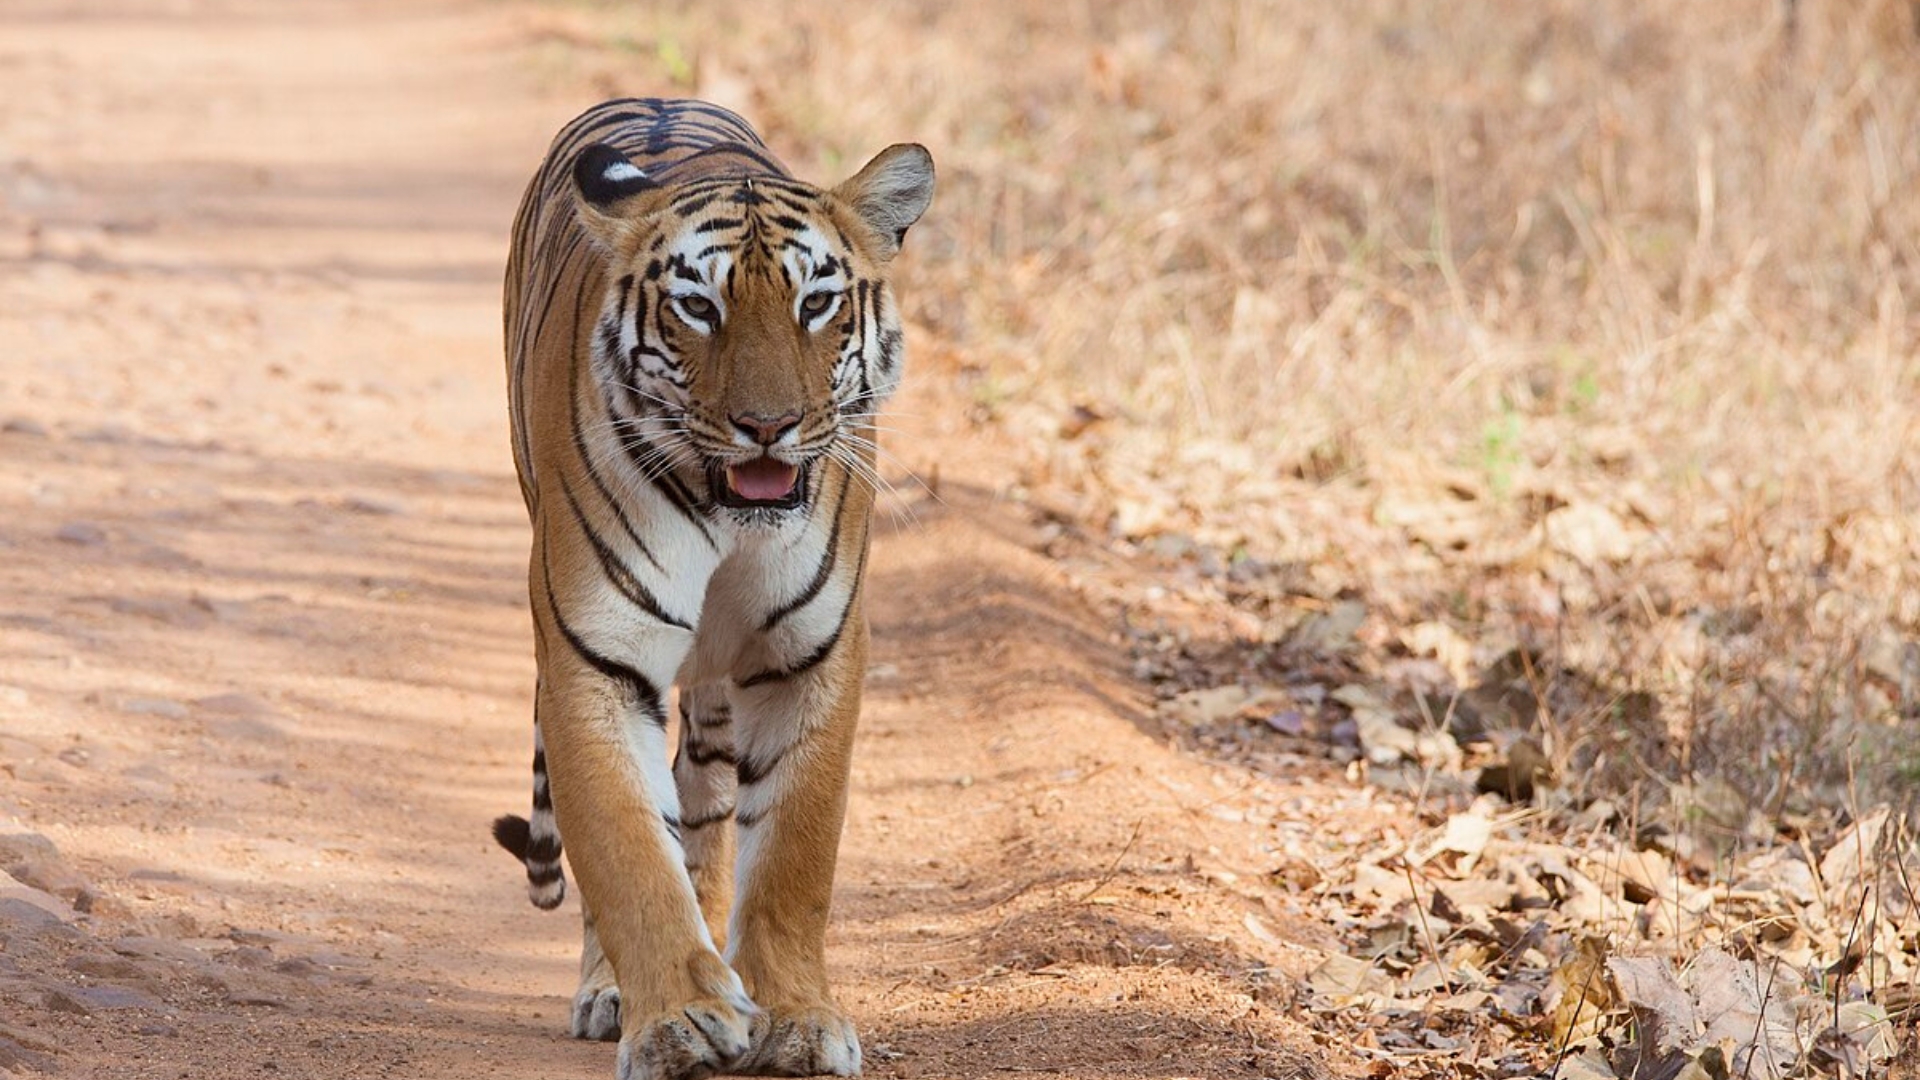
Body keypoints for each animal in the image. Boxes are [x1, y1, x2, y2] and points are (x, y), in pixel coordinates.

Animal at [491, 94, 933, 1076]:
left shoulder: (812, 655)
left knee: (706, 802)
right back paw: (614, 992)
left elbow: (795, 854)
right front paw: (678, 1020)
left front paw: (797, 1017)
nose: (768, 426)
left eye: (816, 304)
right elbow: (626, 851)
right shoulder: (594, 658)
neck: (731, 518)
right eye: (699, 307)